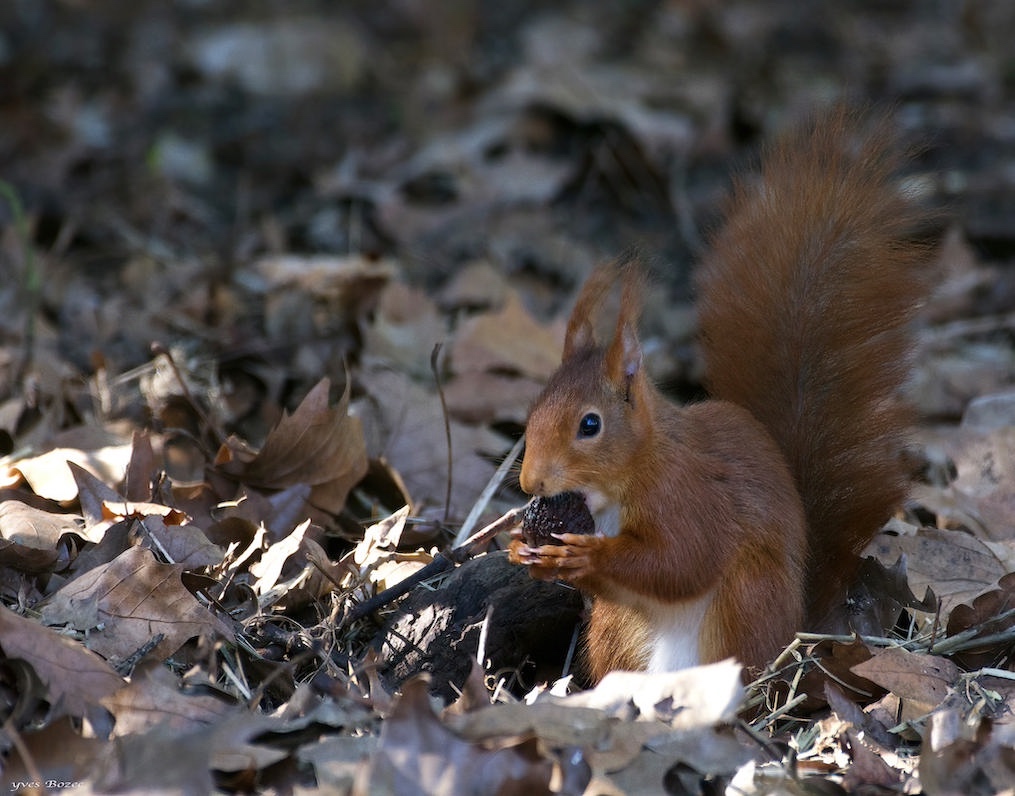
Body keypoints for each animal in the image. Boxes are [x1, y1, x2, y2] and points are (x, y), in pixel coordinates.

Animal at [511, 110, 929, 682]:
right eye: (530, 412)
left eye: (589, 424)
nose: (530, 482)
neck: (628, 478)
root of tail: (799, 631)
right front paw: (521, 550)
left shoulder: (690, 498)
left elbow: (683, 563)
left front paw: (584, 557)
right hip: (615, 630)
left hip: (745, 601)